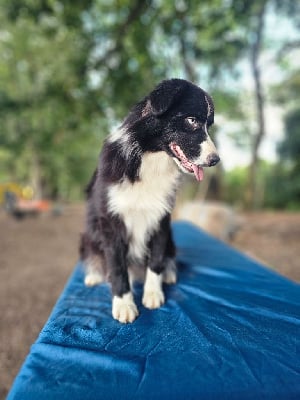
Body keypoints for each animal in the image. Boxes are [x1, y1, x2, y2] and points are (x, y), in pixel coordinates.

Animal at [79, 78, 220, 322]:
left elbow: (156, 261)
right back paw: (94, 274)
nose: (215, 160)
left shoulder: (160, 219)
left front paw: (153, 294)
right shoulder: (111, 222)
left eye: (208, 126)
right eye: (191, 120)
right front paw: (124, 303)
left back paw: (169, 273)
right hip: (88, 234)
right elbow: (117, 266)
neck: (149, 158)